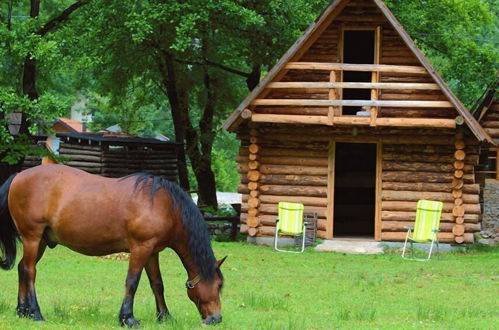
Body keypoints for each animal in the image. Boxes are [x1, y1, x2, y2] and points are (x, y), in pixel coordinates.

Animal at [0, 166, 227, 326]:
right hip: (32, 237)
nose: (216, 318)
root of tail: (18, 176)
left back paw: (22, 311)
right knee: (30, 271)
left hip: (41, 242)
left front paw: (164, 316)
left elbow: (157, 284)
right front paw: (128, 318)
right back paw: (35, 313)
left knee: (22, 268)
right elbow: (132, 282)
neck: (164, 205)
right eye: (218, 285)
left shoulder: (152, 252)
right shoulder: (141, 249)